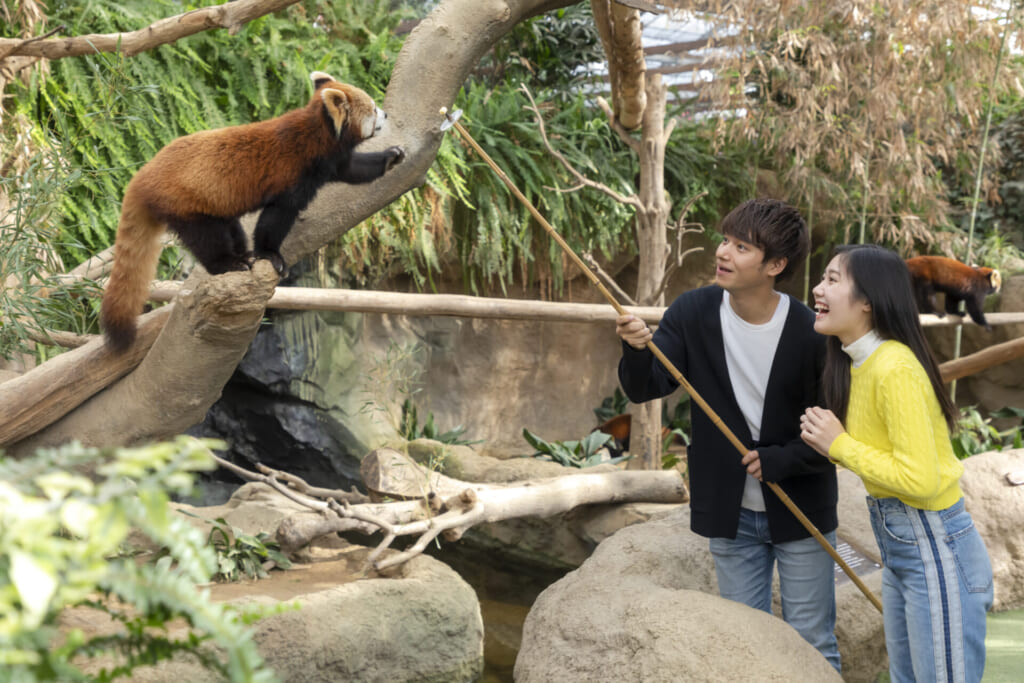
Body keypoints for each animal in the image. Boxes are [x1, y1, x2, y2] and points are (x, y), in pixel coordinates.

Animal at [100, 72, 403, 356]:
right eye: (373, 107)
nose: (387, 114)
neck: (317, 133)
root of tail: (142, 177)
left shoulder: (332, 162)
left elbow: (355, 170)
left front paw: (392, 156)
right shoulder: (296, 174)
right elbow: (275, 218)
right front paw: (270, 255)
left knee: (230, 228)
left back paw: (242, 254)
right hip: (184, 205)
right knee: (207, 238)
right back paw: (229, 263)